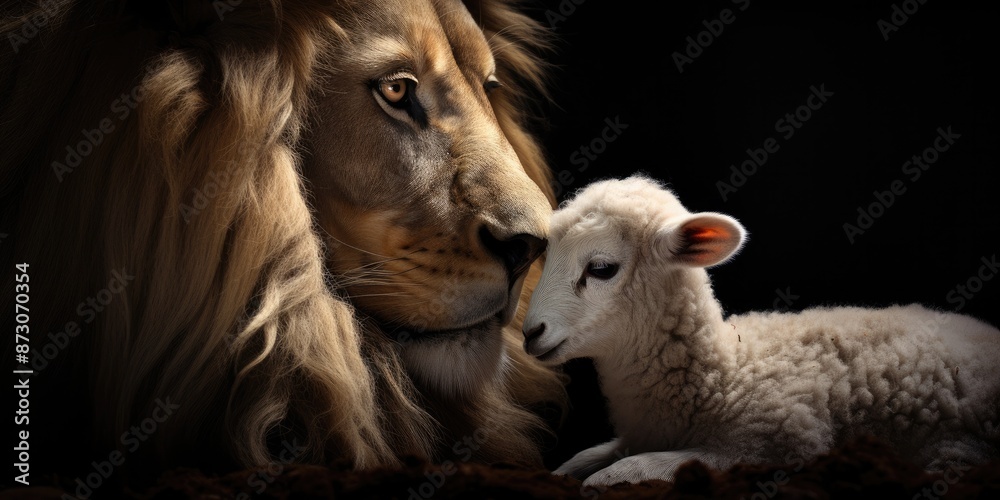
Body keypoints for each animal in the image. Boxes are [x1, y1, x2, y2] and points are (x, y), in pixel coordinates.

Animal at [522, 174, 1000, 486]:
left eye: (602, 268)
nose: (530, 332)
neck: (725, 372)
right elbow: (579, 460)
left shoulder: (767, 446)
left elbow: (632, 470)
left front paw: (603, 481)